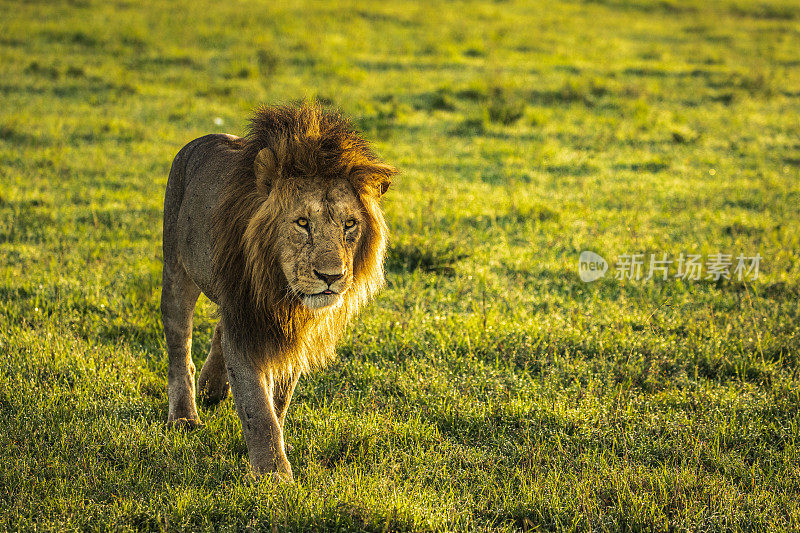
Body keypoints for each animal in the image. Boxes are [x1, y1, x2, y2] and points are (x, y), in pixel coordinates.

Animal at [162, 103, 396, 478]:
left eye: (349, 224)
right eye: (302, 223)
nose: (331, 277)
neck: (281, 292)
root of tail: (200, 140)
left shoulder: (291, 329)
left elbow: (279, 398)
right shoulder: (245, 320)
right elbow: (257, 407)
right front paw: (273, 475)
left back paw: (213, 388)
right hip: (176, 269)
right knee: (179, 346)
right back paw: (184, 416)